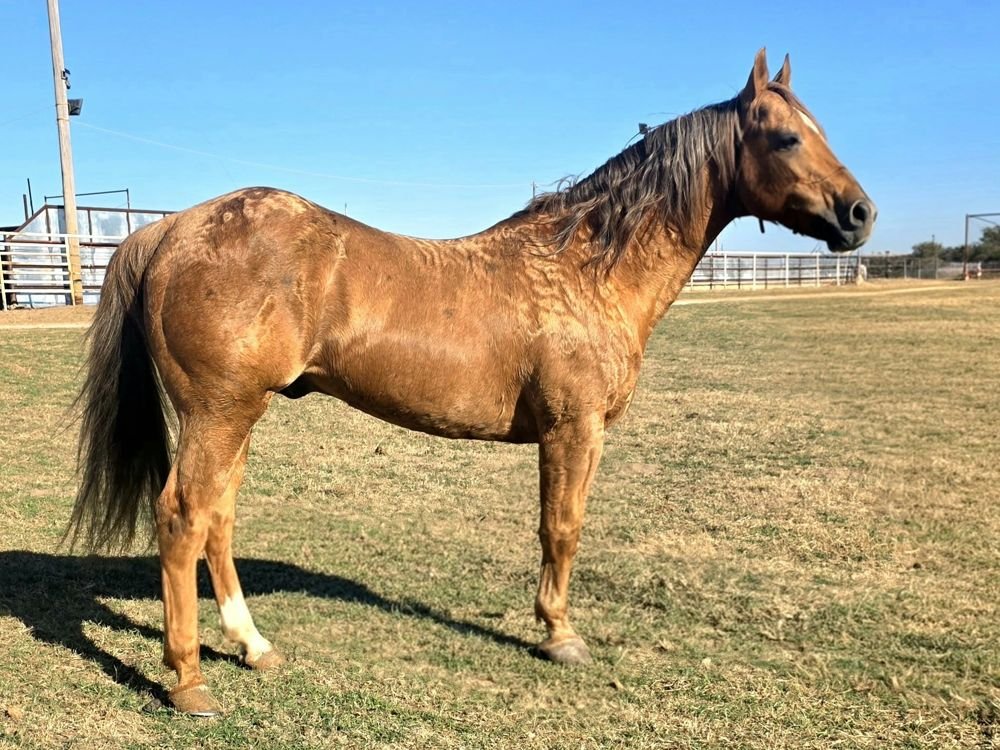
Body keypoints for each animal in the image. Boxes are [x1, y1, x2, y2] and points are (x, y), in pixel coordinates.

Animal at [69, 49, 875, 715]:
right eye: (786, 138)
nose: (860, 214)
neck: (586, 269)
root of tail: (169, 229)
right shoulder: (573, 430)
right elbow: (562, 528)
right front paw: (559, 634)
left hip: (237, 415)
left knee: (218, 518)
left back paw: (253, 646)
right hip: (220, 412)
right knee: (182, 517)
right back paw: (188, 680)